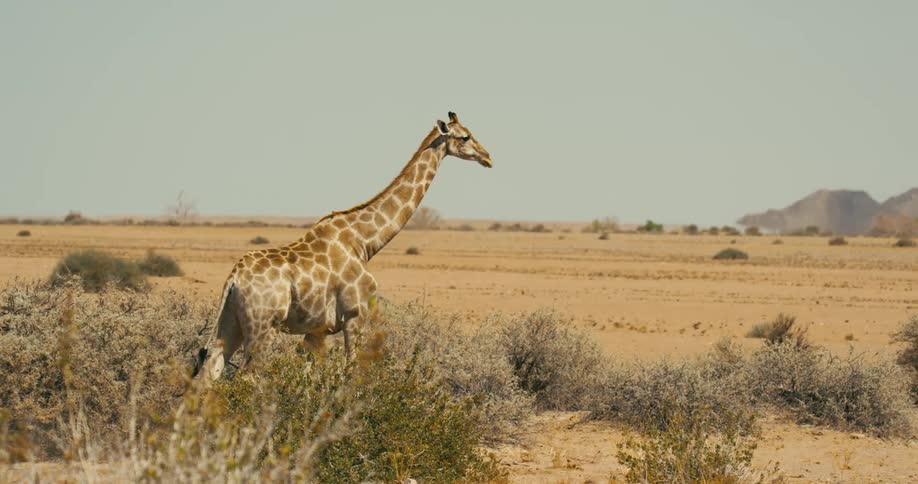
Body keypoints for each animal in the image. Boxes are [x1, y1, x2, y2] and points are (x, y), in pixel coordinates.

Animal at [193, 111, 493, 384]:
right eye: (465, 136)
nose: (488, 157)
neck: (364, 240)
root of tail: (234, 279)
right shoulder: (354, 316)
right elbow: (350, 374)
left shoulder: (317, 331)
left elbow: (311, 381)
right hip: (262, 327)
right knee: (245, 378)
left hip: (230, 324)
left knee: (209, 373)